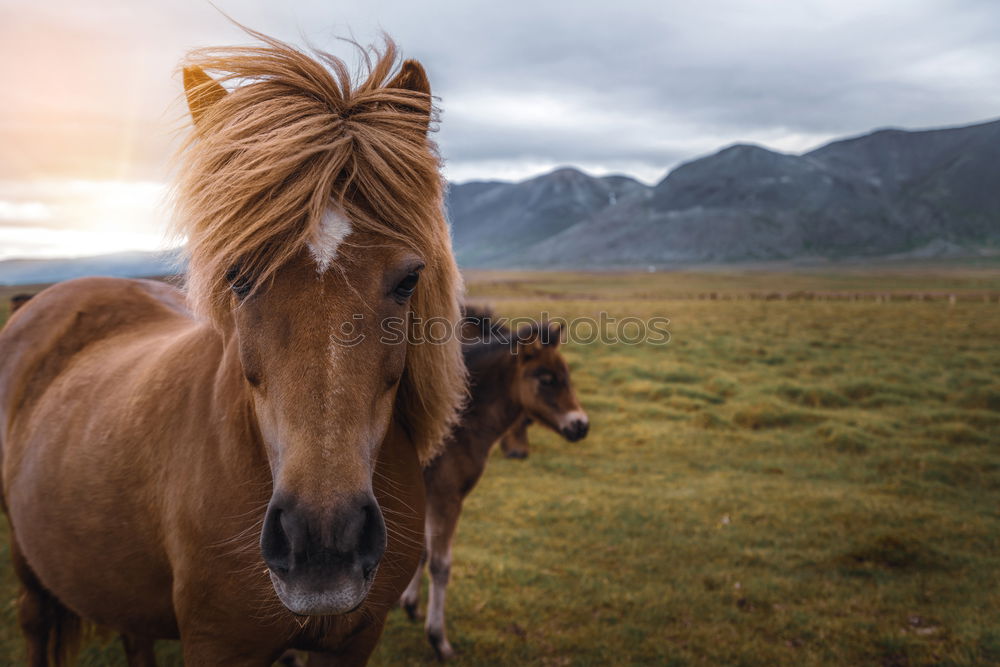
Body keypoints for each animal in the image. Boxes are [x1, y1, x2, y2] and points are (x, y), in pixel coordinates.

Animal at [0, 31, 462, 667]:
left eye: (409, 279)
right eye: (238, 277)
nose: (324, 545)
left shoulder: (355, 639)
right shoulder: (220, 642)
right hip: (29, 565)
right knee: (35, 620)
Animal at [398, 306, 584, 660]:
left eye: (566, 374)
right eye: (546, 379)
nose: (581, 426)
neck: (458, 423)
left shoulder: (429, 496)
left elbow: (423, 551)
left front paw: (411, 606)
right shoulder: (447, 497)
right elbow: (441, 564)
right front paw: (439, 640)